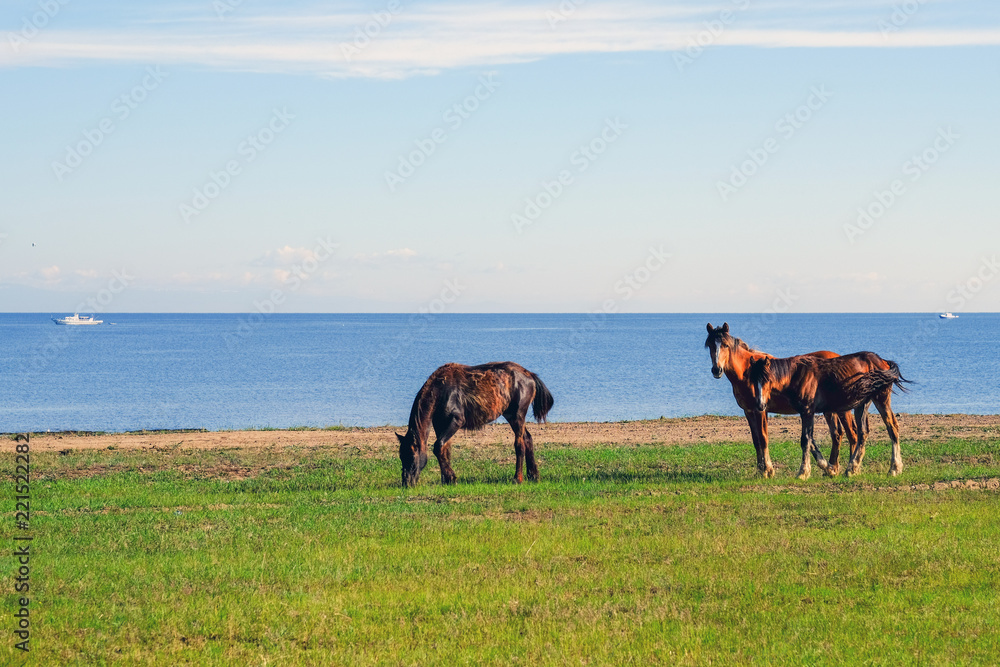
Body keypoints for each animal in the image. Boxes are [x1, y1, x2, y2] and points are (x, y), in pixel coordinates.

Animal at [396, 362, 556, 488]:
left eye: (411, 456)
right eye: (401, 457)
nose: (406, 482)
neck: (440, 391)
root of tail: (529, 375)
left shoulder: (456, 421)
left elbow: (438, 446)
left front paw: (451, 478)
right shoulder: (440, 424)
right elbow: (445, 449)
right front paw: (447, 479)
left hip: (518, 415)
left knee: (520, 444)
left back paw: (518, 478)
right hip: (510, 415)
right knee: (528, 439)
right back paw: (533, 475)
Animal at [704, 320, 860, 478]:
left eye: (725, 345)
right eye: (710, 345)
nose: (716, 370)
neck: (747, 373)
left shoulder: (761, 410)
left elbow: (763, 438)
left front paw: (768, 471)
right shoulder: (748, 411)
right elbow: (756, 440)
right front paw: (760, 470)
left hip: (842, 408)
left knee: (852, 434)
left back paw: (851, 469)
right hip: (830, 410)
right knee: (837, 434)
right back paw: (833, 468)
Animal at [748, 352, 912, 482]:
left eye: (767, 379)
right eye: (753, 381)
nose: (760, 405)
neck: (797, 375)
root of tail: (882, 361)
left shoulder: (807, 411)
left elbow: (805, 440)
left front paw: (803, 472)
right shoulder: (805, 412)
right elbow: (811, 442)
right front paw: (830, 469)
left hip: (881, 399)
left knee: (892, 427)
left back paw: (894, 469)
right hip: (862, 404)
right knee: (863, 432)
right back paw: (852, 469)